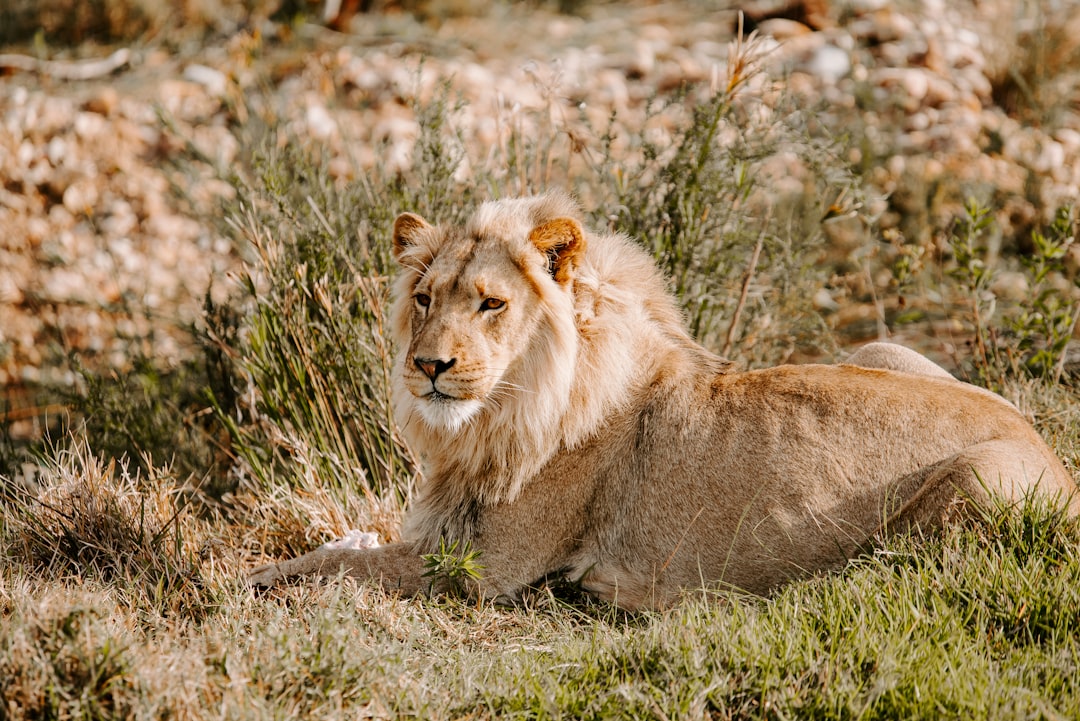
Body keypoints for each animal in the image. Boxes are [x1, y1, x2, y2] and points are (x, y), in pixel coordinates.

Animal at [247, 191, 1080, 608]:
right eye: (423, 298)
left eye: (490, 303)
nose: (427, 365)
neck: (491, 422)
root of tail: (1046, 445)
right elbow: (353, 544)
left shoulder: (484, 569)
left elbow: (348, 565)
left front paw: (254, 578)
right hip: (879, 351)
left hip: (976, 480)